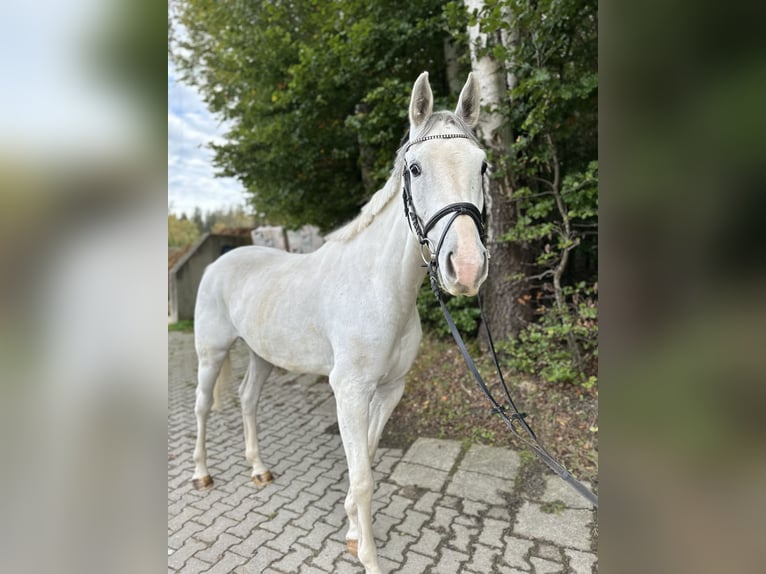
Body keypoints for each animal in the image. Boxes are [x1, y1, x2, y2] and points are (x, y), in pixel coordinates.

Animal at [194, 72, 492, 574]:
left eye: (484, 166)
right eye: (415, 169)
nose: (466, 268)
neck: (378, 288)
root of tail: (222, 260)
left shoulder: (389, 390)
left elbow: (366, 459)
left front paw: (353, 529)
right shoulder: (349, 392)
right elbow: (364, 475)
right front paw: (368, 556)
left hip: (261, 355)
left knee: (248, 400)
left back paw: (258, 469)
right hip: (211, 354)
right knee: (201, 407)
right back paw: (201, 475)